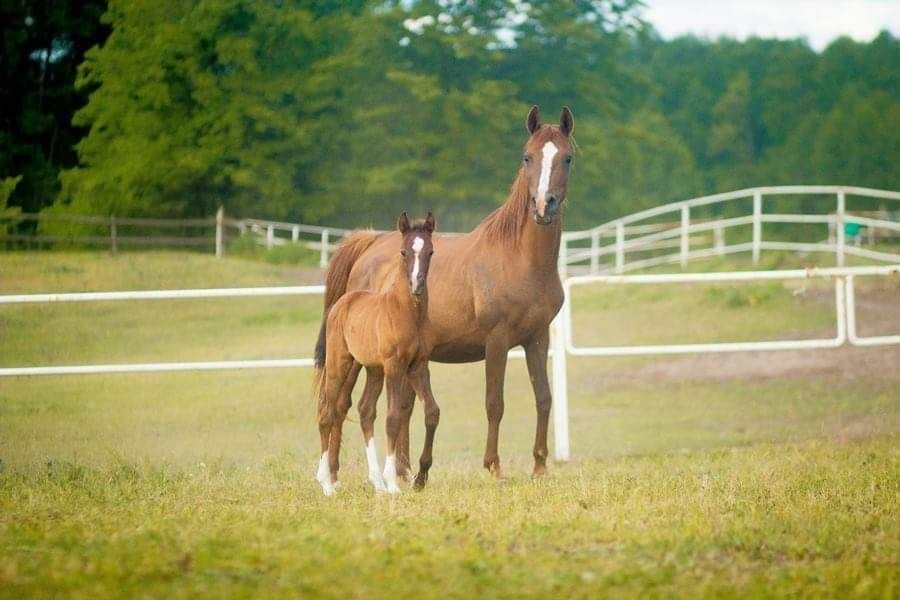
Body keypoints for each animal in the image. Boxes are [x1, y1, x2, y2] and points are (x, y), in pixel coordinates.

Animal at [316, 213, 440, 494]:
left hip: (373, 370)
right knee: (328, 411)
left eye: (430, 251)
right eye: (404, 251)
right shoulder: (395, 366)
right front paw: (394, 482)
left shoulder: (418, 366)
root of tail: (342, 302)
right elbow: (393, 417)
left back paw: (376, 482)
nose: (417, 285)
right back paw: (327, 483)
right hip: (341, 363)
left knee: (365, 410)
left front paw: (418, 478)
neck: (407, 313)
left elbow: (431, 411)